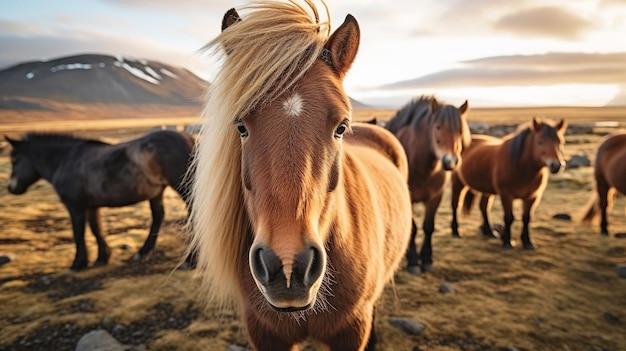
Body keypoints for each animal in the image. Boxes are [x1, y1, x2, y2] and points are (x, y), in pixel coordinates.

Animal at [5, 131, 195, 270]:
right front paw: (102, 257)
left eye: (15, 159)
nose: (10, 188)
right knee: (158, 217)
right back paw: (143, 252)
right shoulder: (91, 206)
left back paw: (190, 260)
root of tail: (189, 139)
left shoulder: (75, 207)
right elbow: (96, 229)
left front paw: (78, 263)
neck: (65, 160)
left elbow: (78, 233)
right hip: (157, 193)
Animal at [386, 96, 468, 276]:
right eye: (438, 127)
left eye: (460, 130)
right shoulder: (408, 200)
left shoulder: (435, 197)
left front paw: (427, 260)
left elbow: (428, 226)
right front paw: (413, 262)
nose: (450, 161)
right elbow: (413, 229)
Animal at [448, 118, 564, 250]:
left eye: (559, 142)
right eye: (540, 141)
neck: (521, 166)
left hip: (486, 190)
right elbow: (509, 218)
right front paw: (508, 242)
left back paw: (490, 232)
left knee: (484, 207)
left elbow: (526, 218)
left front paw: (527, 242)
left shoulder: (532, 197)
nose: (556, 165)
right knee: (455, 205)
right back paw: (456, 232)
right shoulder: (506, 195)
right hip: (458, 183)